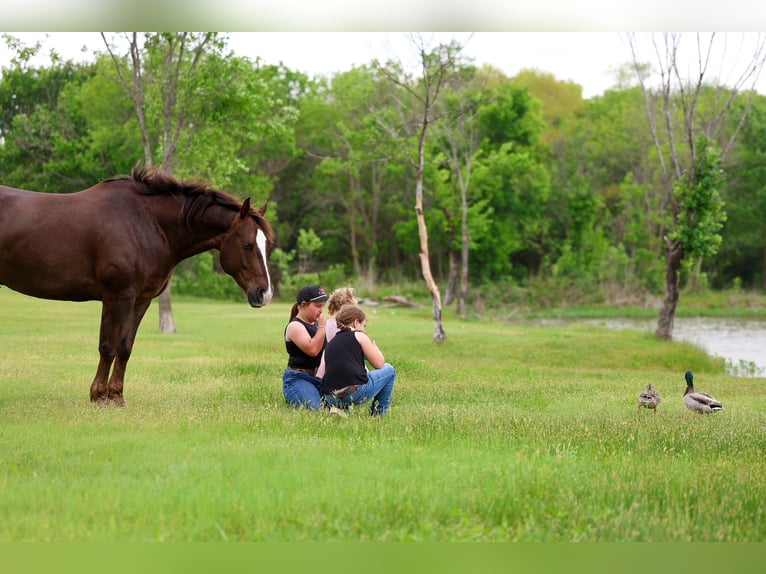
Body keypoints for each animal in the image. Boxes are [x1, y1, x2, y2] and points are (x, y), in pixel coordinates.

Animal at [0, 165, 276, 406]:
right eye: (247, 244)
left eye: (268, 245)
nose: (265, 293)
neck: (145, 223)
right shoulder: (117, 297)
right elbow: (108, 347)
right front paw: (99, 396)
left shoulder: (140, 300)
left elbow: (124, 347)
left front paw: (116, 396)